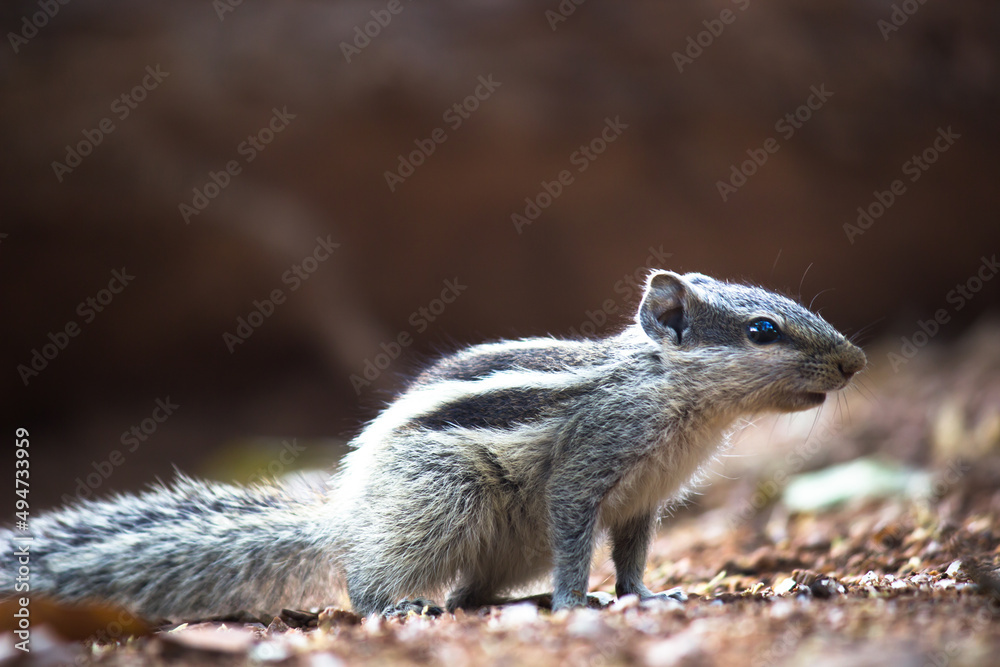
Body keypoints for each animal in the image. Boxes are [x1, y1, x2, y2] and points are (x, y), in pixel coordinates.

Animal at [1, 270, 866, 619]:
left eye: (780, 308)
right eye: (762, 330)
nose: (855, 362)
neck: (668, 390)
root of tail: (346, 512)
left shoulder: (643, 502)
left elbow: (630, 555)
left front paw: (645, 595)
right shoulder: (589, 469)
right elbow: (576, 536)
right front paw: (574, 602)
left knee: (469, 594)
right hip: (439, 499)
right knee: (370, 577)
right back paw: (395, 604)